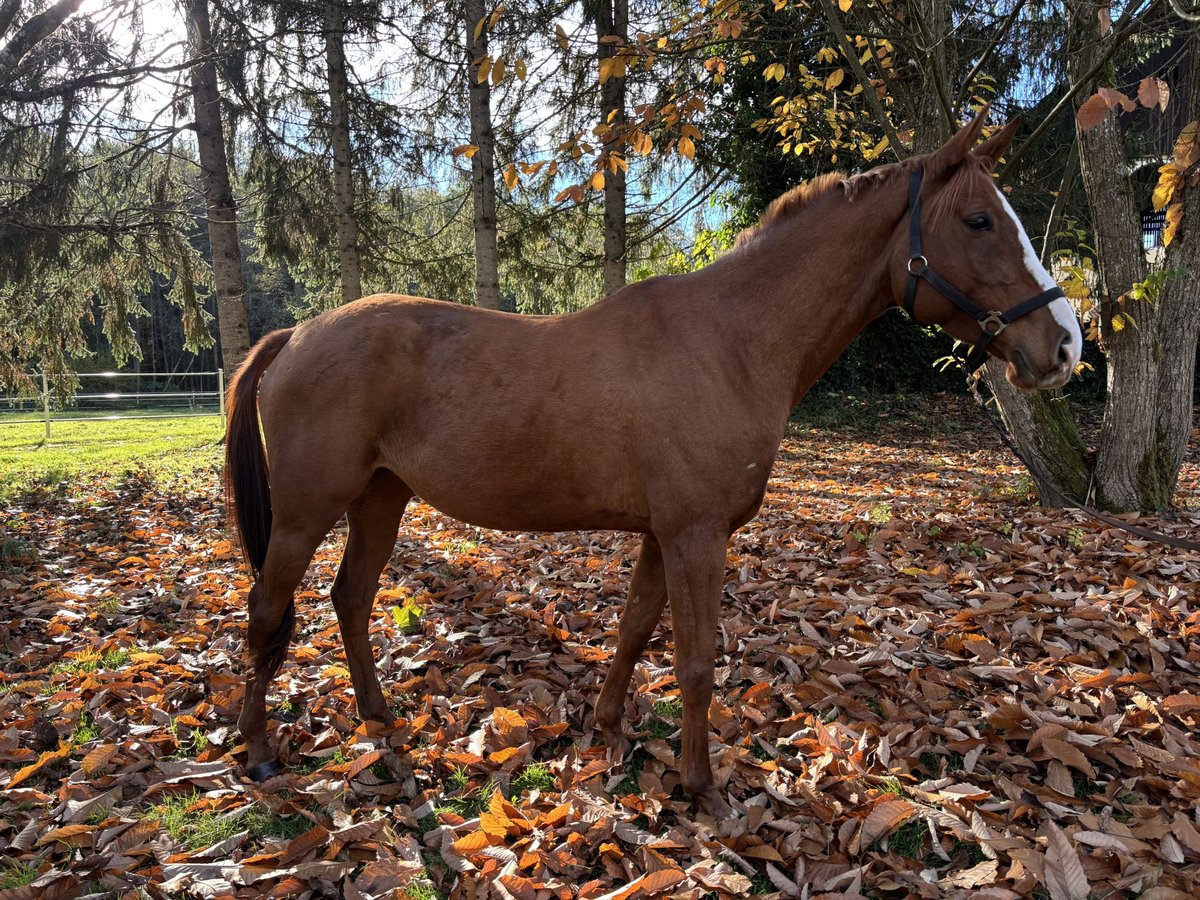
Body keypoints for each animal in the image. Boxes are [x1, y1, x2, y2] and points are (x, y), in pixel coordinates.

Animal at [224, 109, 1082, 815]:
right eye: (978, 220)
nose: (1065, 346)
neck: (729, 341)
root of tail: (297, 336)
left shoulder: (659, 534)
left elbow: (635, 630)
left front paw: (606, 728)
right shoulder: (696, 535)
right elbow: (695, 661)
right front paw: (701, 787)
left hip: (380, 498)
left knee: (351, 598)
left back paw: (377, 715)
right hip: (306, 511)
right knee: (269, 609)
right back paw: (258, 752)